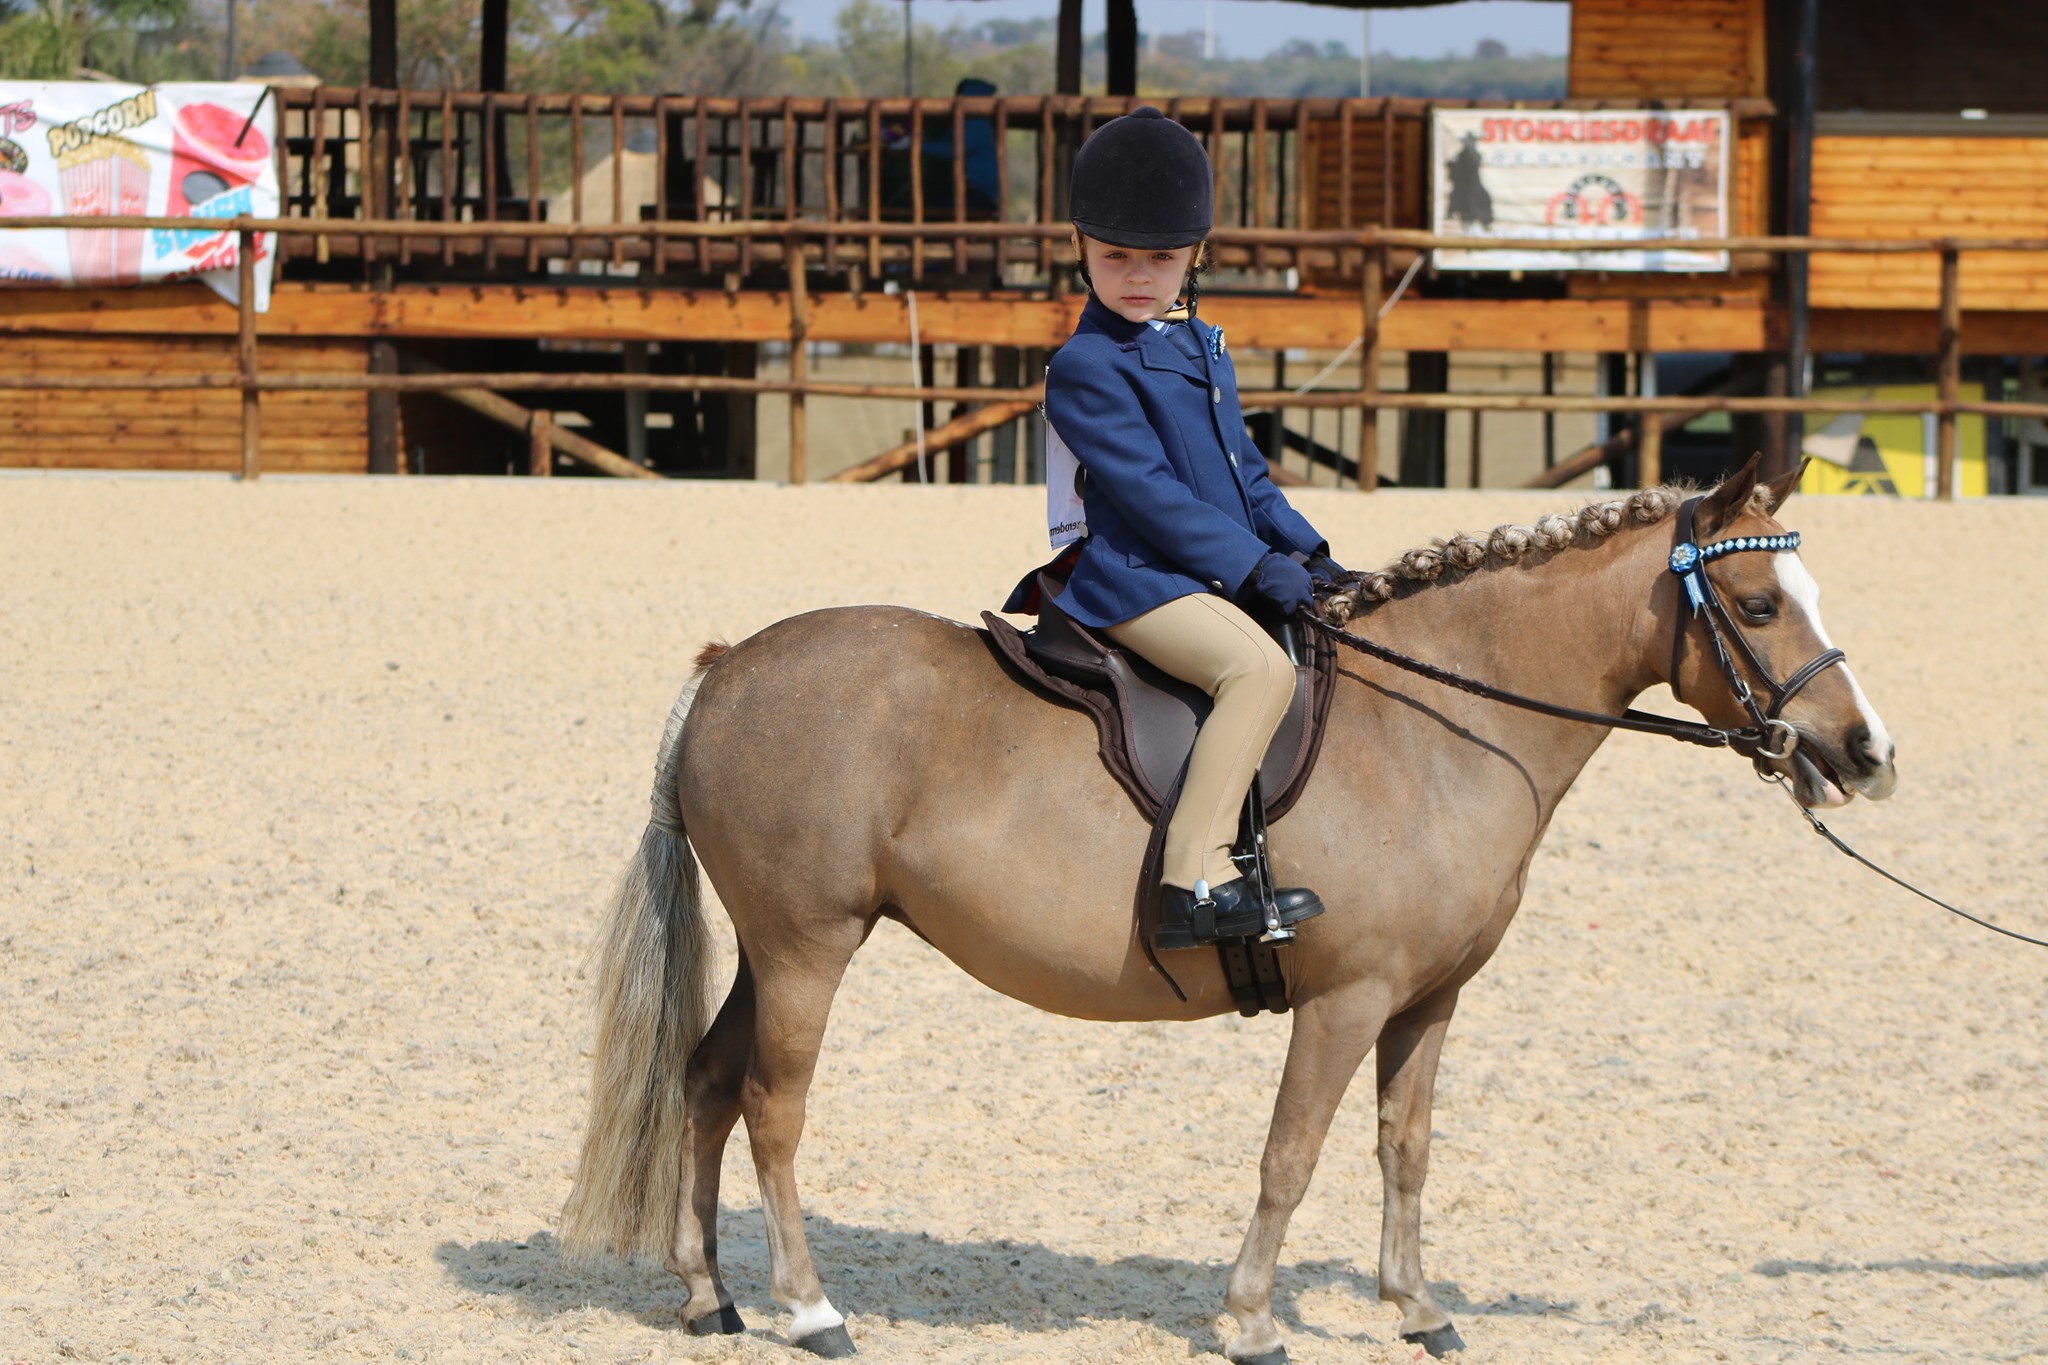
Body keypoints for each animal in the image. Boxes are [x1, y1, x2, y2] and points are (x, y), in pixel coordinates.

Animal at [558, 457, 1898, 1363]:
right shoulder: (1344, 998)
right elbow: (1290, 1155)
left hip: (770, 950)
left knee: (705, 1081)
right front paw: (1251, 1319)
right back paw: (810, 1307)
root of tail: (730, 667)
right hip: (807, 950)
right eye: (1761, 607)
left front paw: (1416, 1308)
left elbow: (1403, 1148)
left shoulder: (1427, 1001)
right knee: (774, 1109)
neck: (1437, 728)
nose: (1863, 752)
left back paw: (709, 1296)